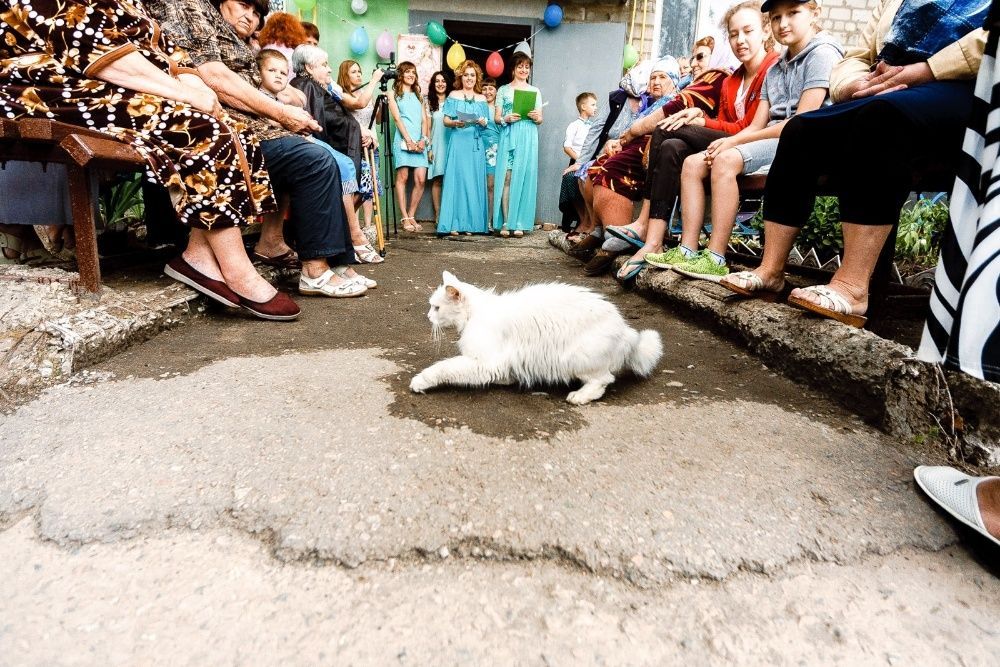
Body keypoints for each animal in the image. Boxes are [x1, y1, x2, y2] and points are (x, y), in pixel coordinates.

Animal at [410, 270, 660, 404]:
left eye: (436, 308)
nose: (427, 316)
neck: (475, 313)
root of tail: (626, 330)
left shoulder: (484, 360)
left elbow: (443, 368)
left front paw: (420, 381)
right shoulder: (500, 360)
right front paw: (507, 379)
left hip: (577, 358)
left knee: (604, 380)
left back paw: (580, 396)